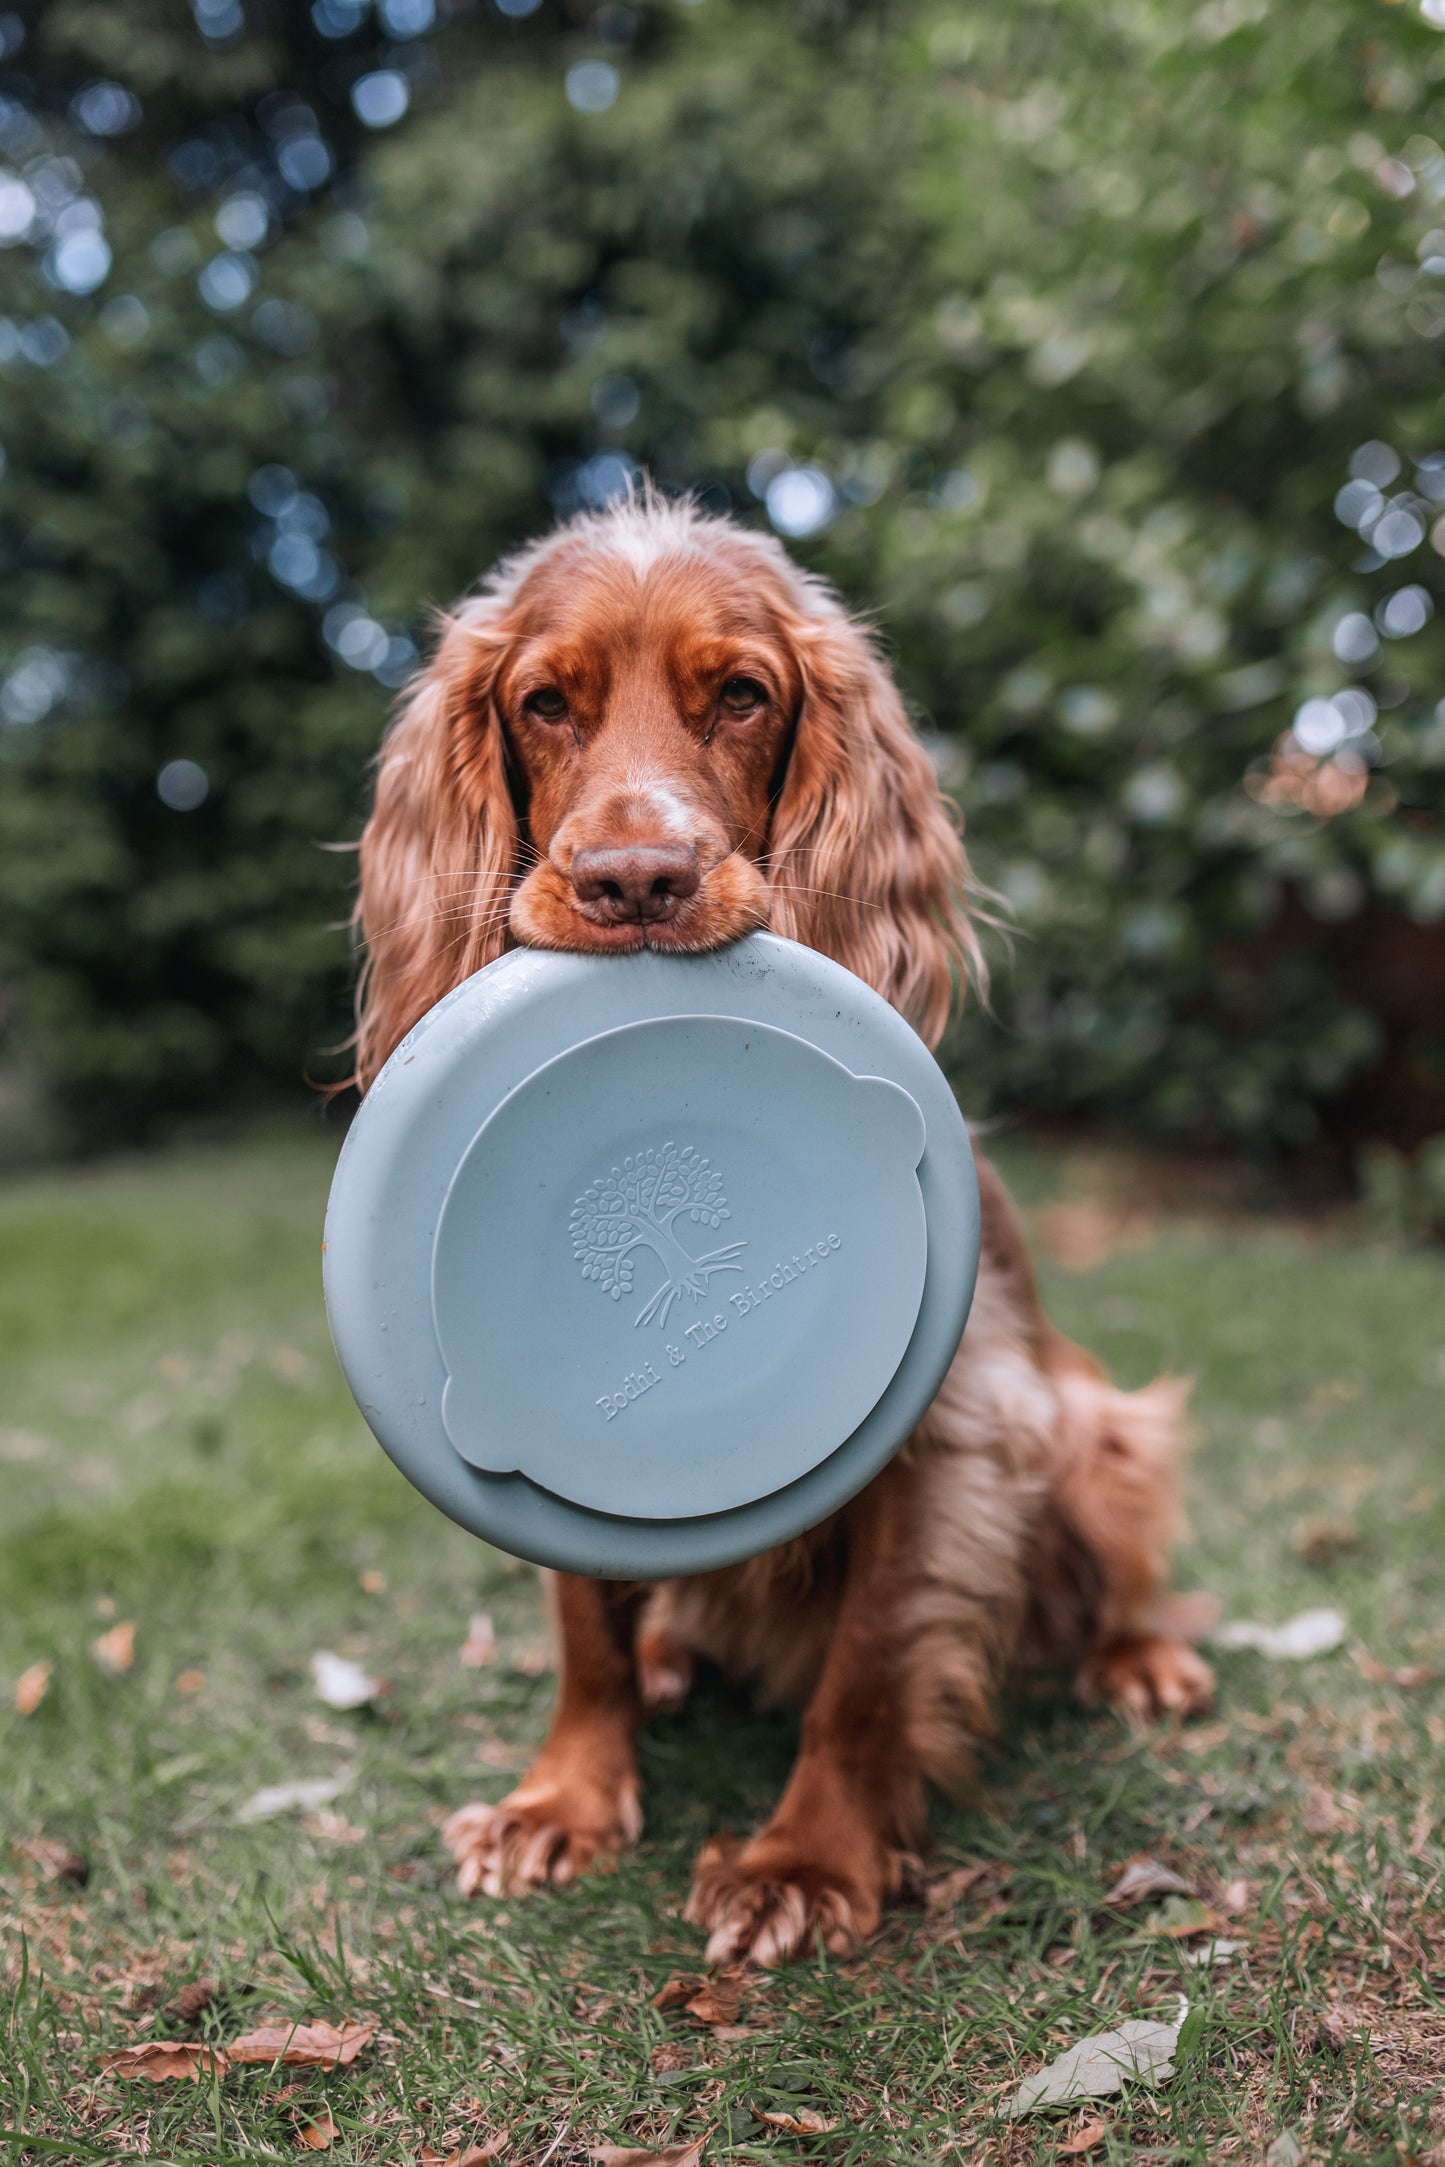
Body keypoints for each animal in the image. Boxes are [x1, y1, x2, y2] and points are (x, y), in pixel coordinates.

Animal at [350, 487, 1213, 1967]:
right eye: (544, 703)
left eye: (743, 696)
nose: (635, 880)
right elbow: (584, 1630)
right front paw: (559, 1799)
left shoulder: (946, 1439)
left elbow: (865, 1669)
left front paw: (804, 1861)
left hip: (1095, 1430)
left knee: (1116, 1567)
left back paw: (1141, 1655)